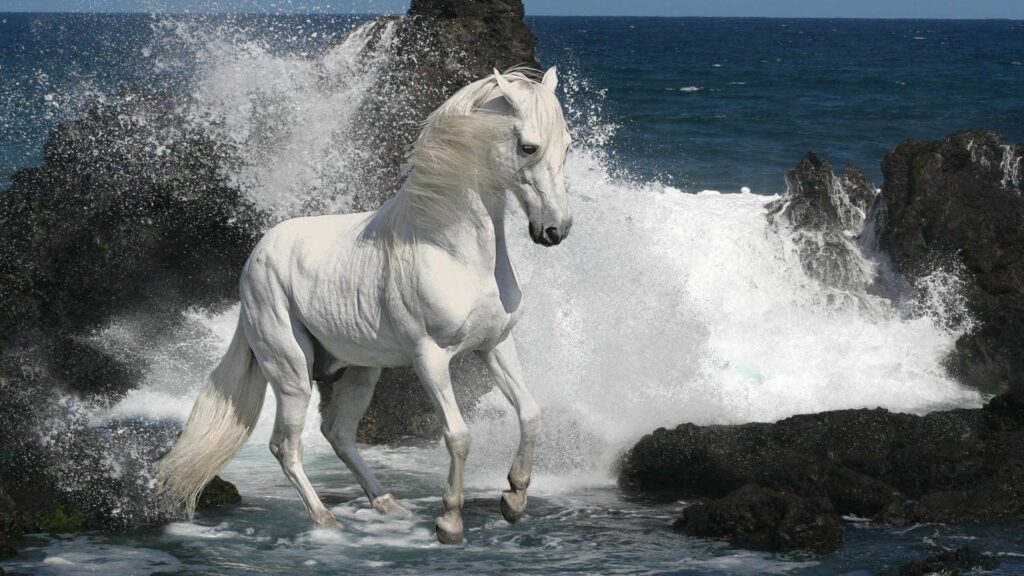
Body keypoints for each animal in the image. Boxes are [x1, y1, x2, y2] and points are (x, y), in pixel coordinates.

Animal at [156, 66, 572, 544]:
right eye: (529, 146)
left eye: (567, 146)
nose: (555, 230)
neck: (452, 249)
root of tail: (256, 256)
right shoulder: (429, 357)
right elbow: (459, 435)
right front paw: (449, 522)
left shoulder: (496, 345)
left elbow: (531, 414)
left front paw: (514, 500)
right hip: (291, 372)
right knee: (286, 444)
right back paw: (326, 520)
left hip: (360, 370)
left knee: (337, 432)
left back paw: (388, 504)